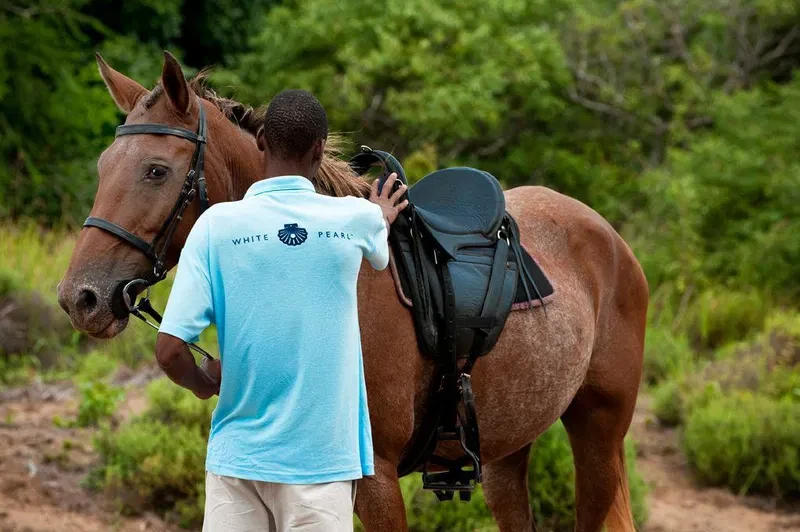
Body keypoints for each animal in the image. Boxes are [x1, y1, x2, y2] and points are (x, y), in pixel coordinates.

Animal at [58, 52, 648, 532]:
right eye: (104, 167)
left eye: (156, 171)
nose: (79, 298)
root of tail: (612, 239)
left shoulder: (375, 482)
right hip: (508, 451)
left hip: (598, 434)